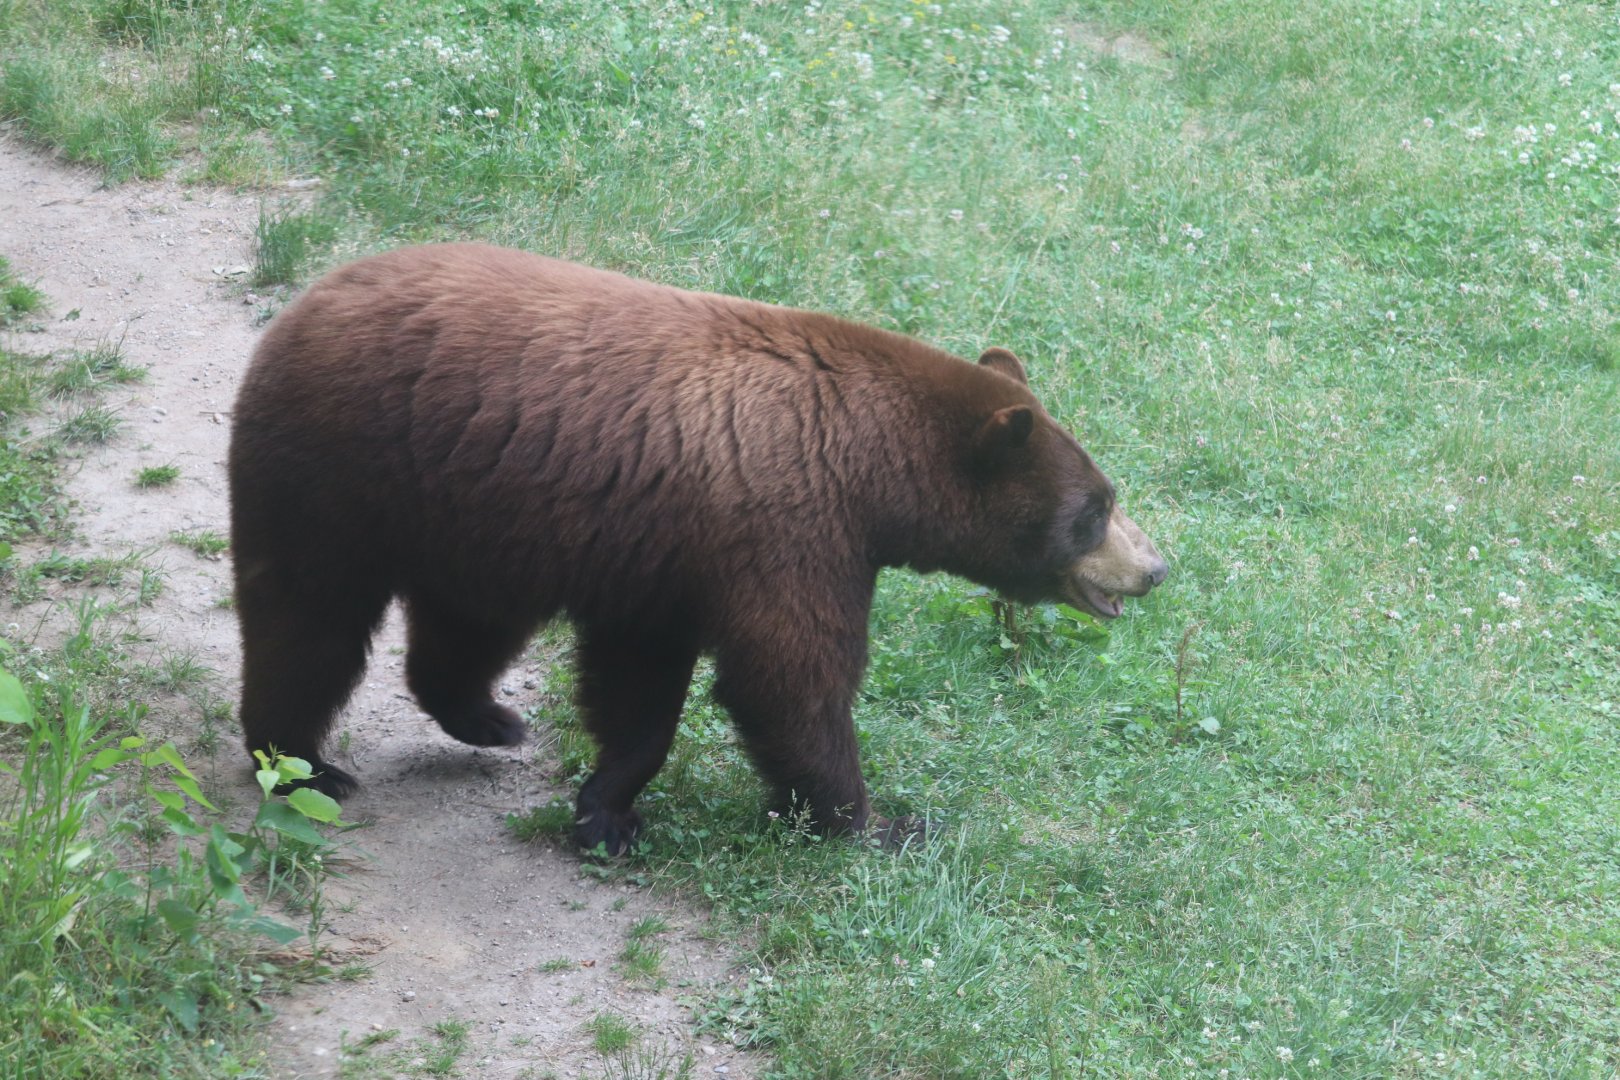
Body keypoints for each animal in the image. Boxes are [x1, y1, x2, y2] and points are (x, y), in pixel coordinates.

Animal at [229, 243, 1167, 853]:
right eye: (1095, 511)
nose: (1154, 567)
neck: (868, 459)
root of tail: (308, 300)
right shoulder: (789, 522)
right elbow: (788, 674)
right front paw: (875, 822)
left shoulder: (662, 552)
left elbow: (640, 681)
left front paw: (606, 810)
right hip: (339, 472)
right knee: (308, 622)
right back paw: (303, 764)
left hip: (467, 514)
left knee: (466, 625)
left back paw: (489, 717)